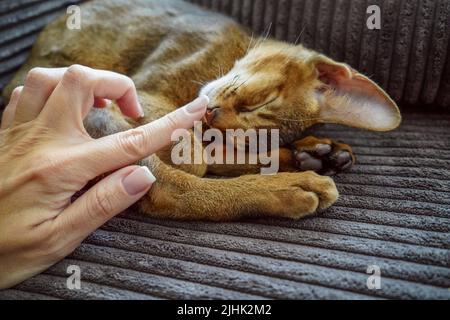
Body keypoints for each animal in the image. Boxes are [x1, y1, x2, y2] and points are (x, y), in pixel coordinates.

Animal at [1, 0, 400, 220]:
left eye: (252, 119)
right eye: (263, 99)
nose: (212, 115)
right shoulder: (141, 91)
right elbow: (190, 151)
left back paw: (317, 155)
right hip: (94, 107)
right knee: (172, 188)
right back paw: (292, 184)